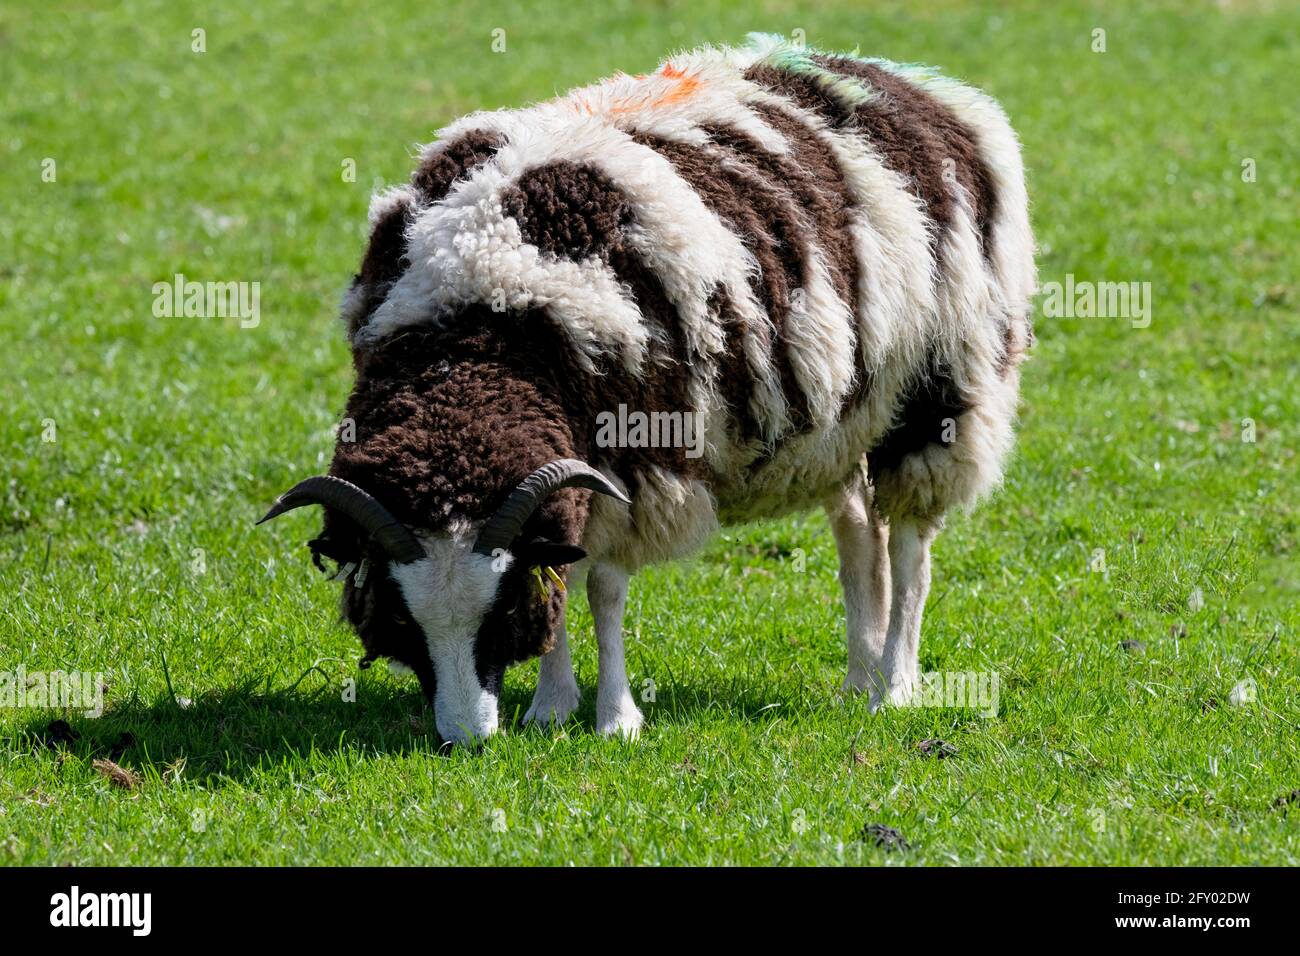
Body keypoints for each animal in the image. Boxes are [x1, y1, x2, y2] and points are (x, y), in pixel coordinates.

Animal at [258, 36, 1035, 745]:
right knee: (857, 538)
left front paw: (615, 719)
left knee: (909, 546)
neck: (482, 322)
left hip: (941, 393)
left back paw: (894, 687)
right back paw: (858, 675)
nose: (468, 740)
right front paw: (550, 708)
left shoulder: (638, 462)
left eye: (502, 611)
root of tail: (908, 82)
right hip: (844, 421)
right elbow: (563, 571)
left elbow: (601, 587)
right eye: (400, 617)